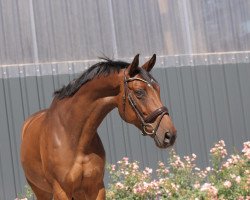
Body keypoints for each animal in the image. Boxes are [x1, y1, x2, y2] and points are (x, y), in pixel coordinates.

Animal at [21, 54, 176, 200]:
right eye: (139, 92)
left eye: (158, 89)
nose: (170, 135)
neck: (73, 138)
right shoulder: (61, 191)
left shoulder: (95, 188)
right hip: (41, 191)